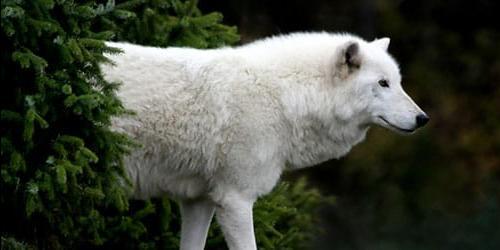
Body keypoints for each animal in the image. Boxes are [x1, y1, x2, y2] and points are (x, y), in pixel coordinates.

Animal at [102, 32, 430, 249]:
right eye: (383, 83)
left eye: (398, 82)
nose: (423, 118)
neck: (284, 97)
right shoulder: (235, 199)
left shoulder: (198, 200)